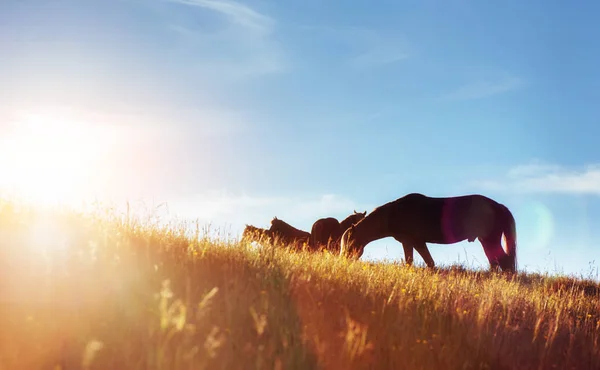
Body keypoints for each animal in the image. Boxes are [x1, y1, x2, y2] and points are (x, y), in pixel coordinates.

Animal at [340, 192, 516, 274]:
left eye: (349, 243)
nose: (343, 261)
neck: (395, 213)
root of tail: (498, 206)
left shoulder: (411, 242)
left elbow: (415, 262)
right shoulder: (415, 243)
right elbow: (427, 263)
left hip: (490, 240)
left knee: (505, 262)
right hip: (485, 240)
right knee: (495, 263)